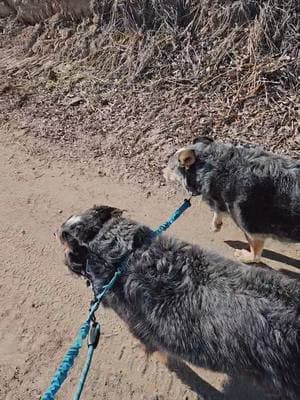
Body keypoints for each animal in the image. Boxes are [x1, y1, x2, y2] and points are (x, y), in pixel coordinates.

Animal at [164, 138, 300, 266]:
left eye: (170, 167)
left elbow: (255, 255)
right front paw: (216, 224)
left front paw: (245, 257)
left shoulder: (252, 231)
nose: (162, 172)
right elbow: (217, 210)